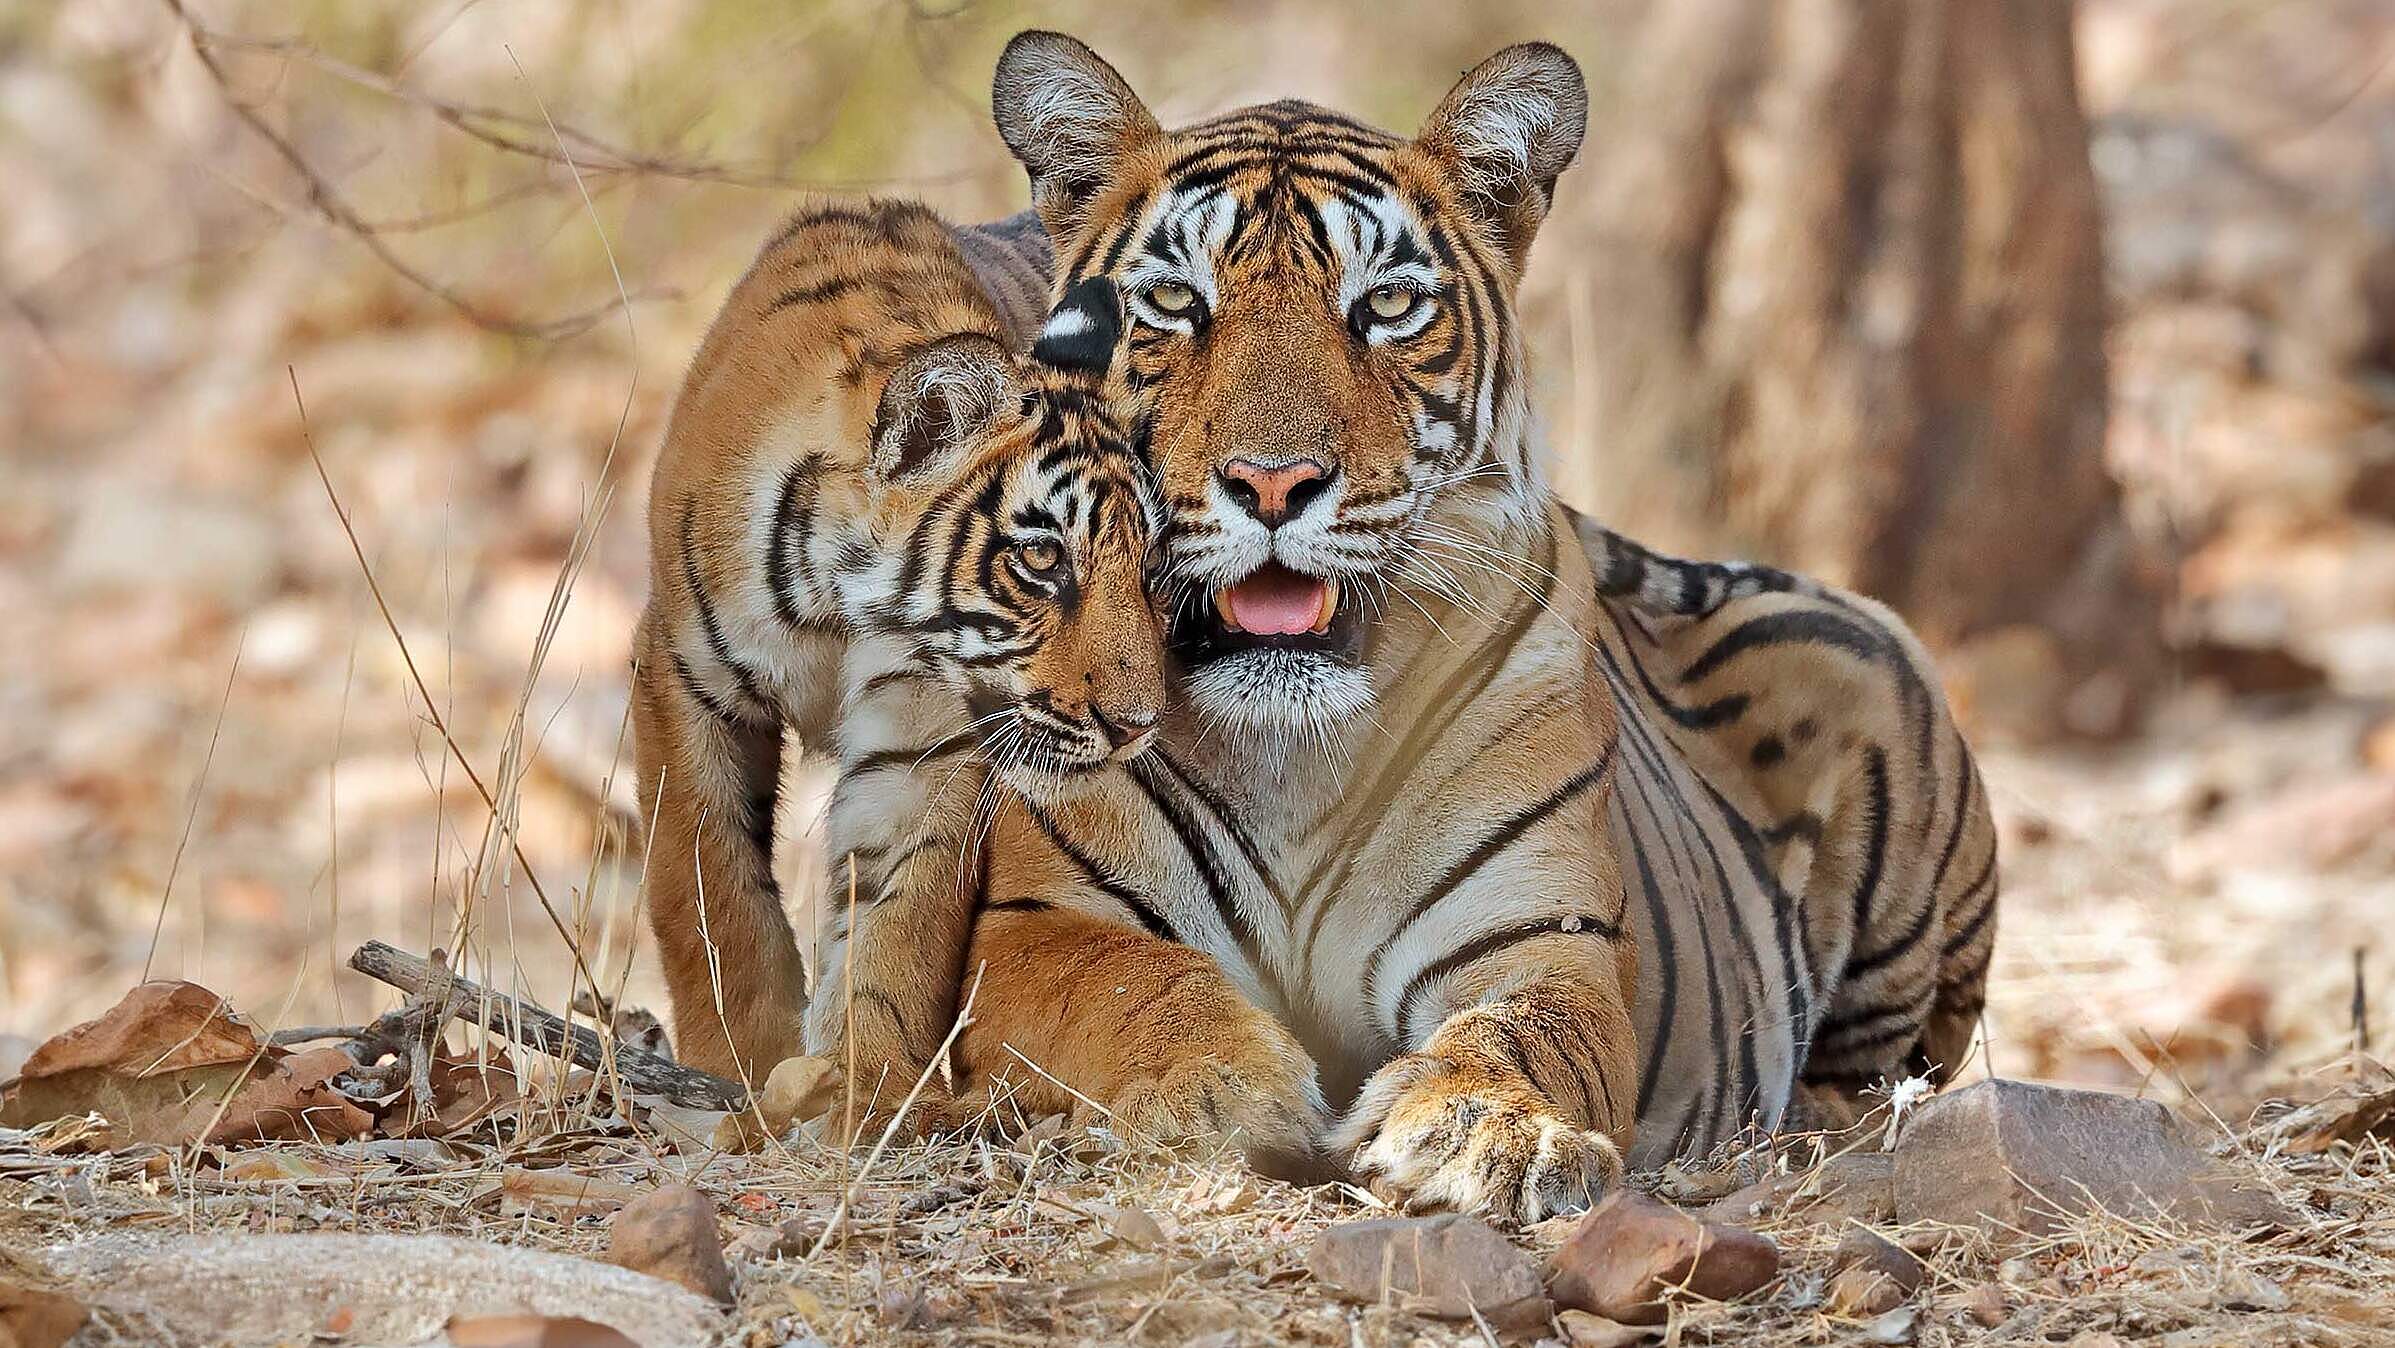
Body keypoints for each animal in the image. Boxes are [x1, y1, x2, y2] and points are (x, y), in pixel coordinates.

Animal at [631, 199, 1182, 1128]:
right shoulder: (682, 677)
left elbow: (900, 924)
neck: (839, 608)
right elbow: (707, 887)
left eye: (1148, 567)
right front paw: (736, 1066)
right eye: (1042, 559)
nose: (1135, 727)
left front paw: (867, 1090)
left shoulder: (927, 741)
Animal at [916, 32, 2000, 1221]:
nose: (1273, 481)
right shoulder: (1038, 924)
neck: (1291, 751)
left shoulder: (1539, 937)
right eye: (1169, 299)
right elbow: (1126, 986)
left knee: (1886, 1073)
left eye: (1387, 306)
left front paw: (1485, 1129)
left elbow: (1521, 1031)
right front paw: (1214, 1088)